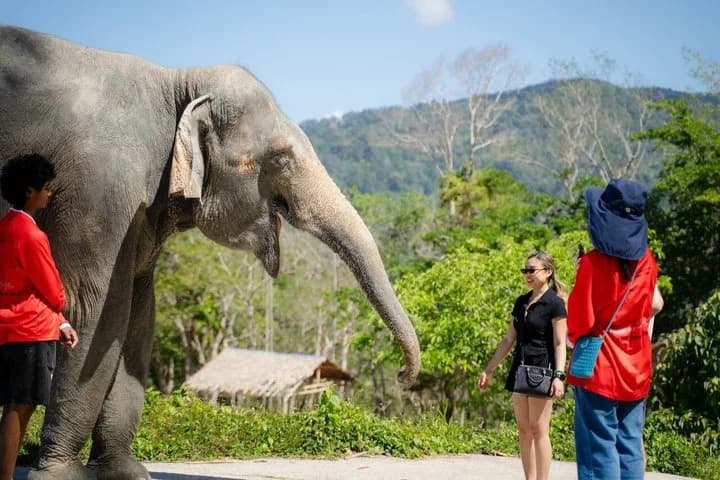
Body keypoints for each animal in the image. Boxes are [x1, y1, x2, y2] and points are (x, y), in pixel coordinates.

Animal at [0, 26, 420, 480]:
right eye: (281, 158)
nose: (402, 376)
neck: (176, 83)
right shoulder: (101, 189)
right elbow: (92, 308)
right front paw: (63, 475)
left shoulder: (139, 210)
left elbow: (139, 315)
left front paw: (125, 471)